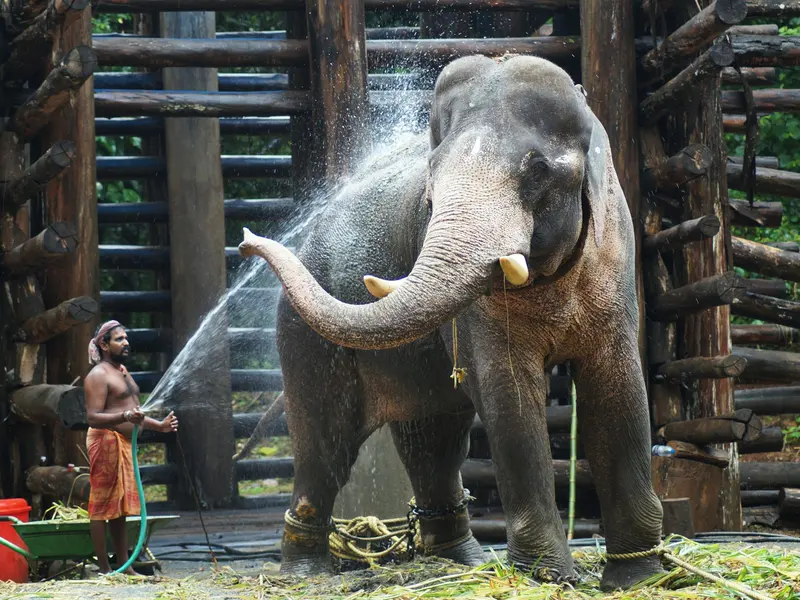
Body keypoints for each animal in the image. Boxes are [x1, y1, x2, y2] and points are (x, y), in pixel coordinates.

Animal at [238, 54, 665, 590]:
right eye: (430, 183)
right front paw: (549, 579)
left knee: (433, 439)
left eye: (538, 169)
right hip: (301, 334)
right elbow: (510, 396)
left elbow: (619, 389)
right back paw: (304, 572)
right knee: (326, 443)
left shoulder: (615, 257)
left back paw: (460, 560)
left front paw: (641, 578)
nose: (246, 241)